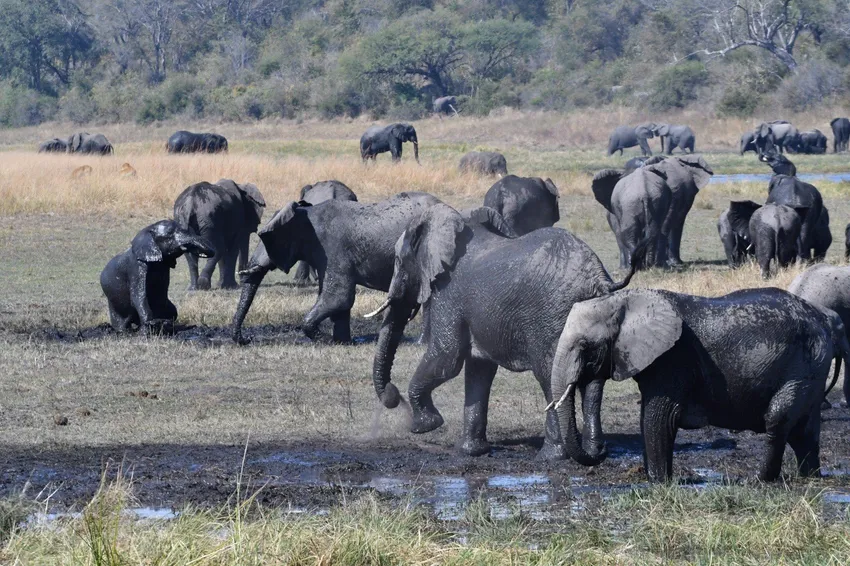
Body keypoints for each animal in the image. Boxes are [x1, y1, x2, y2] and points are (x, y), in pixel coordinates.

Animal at [231, 192, 441, 344]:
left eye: (263, 237)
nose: (247, 339)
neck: (304, 214)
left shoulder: (332, 249)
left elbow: (338, 296)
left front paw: (325, 339)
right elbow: (339, 300)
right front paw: (342, 342)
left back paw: (422, 343)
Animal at [368, 203, 647, 459]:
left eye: (397, 261)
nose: (392, 396)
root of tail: (599, 279)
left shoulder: (449, 294)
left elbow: (447, 358)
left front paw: (424, 426)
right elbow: (478, 370)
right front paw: (470, 452)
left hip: (553, 319)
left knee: (550, 377)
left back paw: (551, 456)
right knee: (593, 381)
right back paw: (595, 453)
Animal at [549, 287, 850, 482]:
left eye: (585, 346)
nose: (602, 450)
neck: (623, 301)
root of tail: (821, 320)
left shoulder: (672, 358)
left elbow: (659, 418)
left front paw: (658, 482)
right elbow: (650, 416)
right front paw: (655, 478)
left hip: (805, 364)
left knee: (778, 419)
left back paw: (759, 479)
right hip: (813, 366)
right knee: (804, 430)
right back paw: (810, 476)